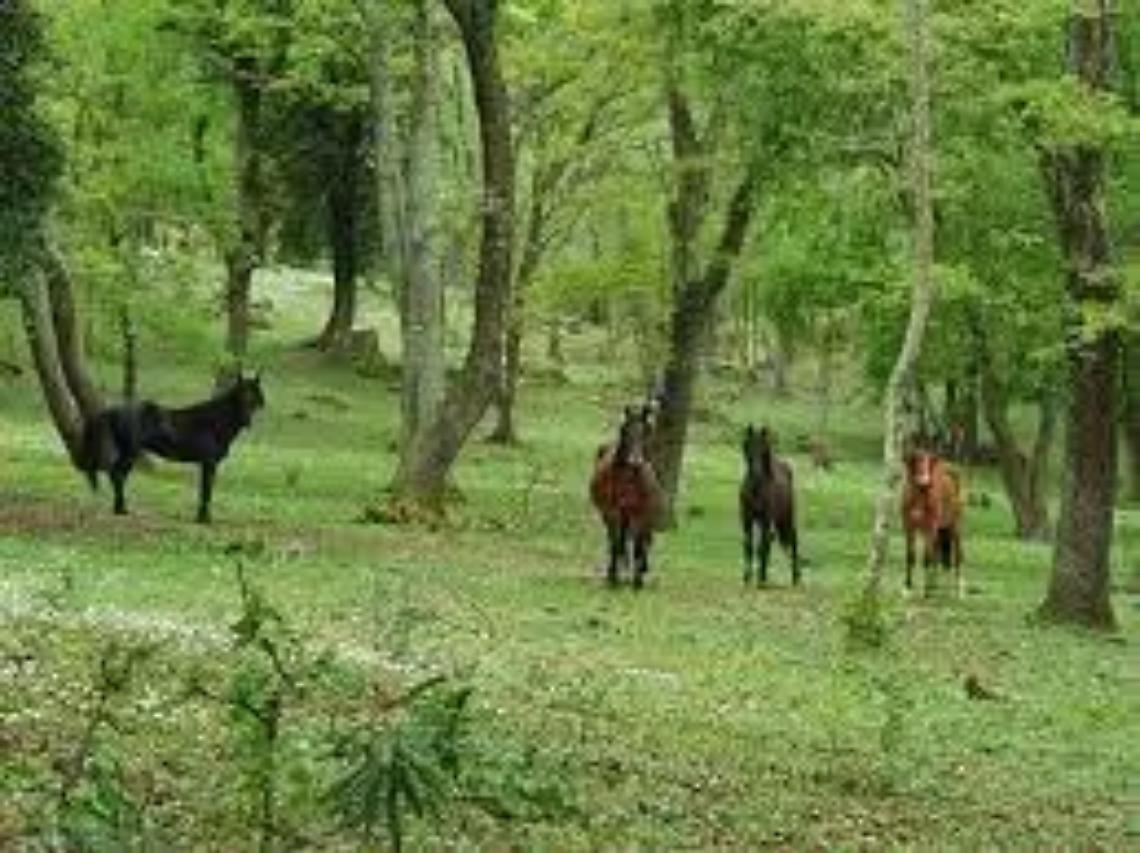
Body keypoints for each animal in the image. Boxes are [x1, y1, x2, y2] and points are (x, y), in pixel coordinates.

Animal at [78, 372, 265, 523]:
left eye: (254, 398)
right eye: (241, 396)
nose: (246, 421)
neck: (215, 422)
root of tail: (112, 410)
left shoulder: (207, 463)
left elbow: (205, 491)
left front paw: (202, 518)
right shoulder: (209, 463)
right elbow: (206, 491)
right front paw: (204, 519)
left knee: (117, 476)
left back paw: (120, 509)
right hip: (130, 452)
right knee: (117, 475)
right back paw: (122, 509)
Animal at [589, 405, 663, 589]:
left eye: (646, 432)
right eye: (625, 430)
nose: (636, 461)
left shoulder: (641, 513)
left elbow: (638, 545)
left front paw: (637, 581)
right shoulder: (613, 511)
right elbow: (616, 542)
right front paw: (613, 577)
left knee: (641, 540)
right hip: (613, 515)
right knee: (617, 540)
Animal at [740, 424, 800, 586]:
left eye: (763, 450)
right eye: (748, 446)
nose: (756, 474)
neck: (756, 489)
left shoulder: (766, 518)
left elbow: (761, 546)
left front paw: (760, 578)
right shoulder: (746, 518)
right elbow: (749, 545)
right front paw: (747, 577)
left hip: (786, 517)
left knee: (792, 539)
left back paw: (795, 577)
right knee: (769, 542)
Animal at [900, 447, 964, 593]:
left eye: (929, 462)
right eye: (916, 459)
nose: (924, 480)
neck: (919, 497)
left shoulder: (930, 527)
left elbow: (927, 557)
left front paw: (925, 590)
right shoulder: (909, 527)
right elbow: (910, 555)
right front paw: (907, 587)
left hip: (955, 525)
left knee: (957, 554)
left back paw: (958, 588)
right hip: (940, 529)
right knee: (938, 554)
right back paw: (935, 584)